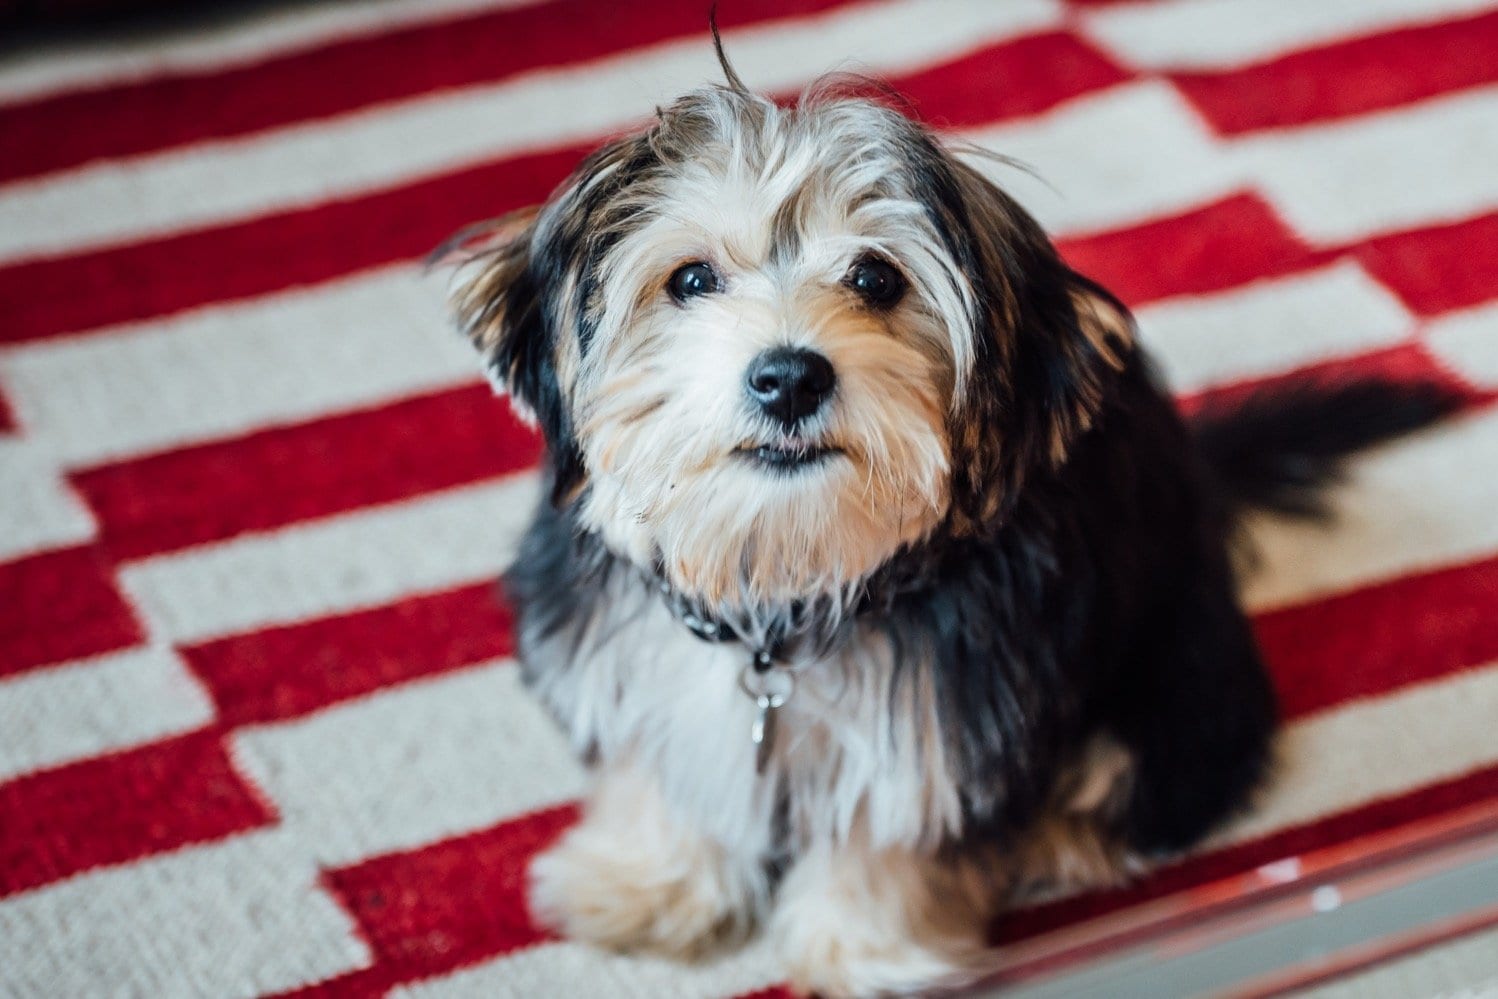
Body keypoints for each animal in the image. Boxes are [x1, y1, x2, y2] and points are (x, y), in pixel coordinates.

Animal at [443, 42, 1455, 997]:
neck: (785, 589)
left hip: (1178, 672)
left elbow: (891, 831)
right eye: (690, 279)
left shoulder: (945, 717)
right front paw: (651, 886)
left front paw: (863, 952)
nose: (789, 376)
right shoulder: (632, 658)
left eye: (875, 277)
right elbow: (665, 766)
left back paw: (1059, 836)